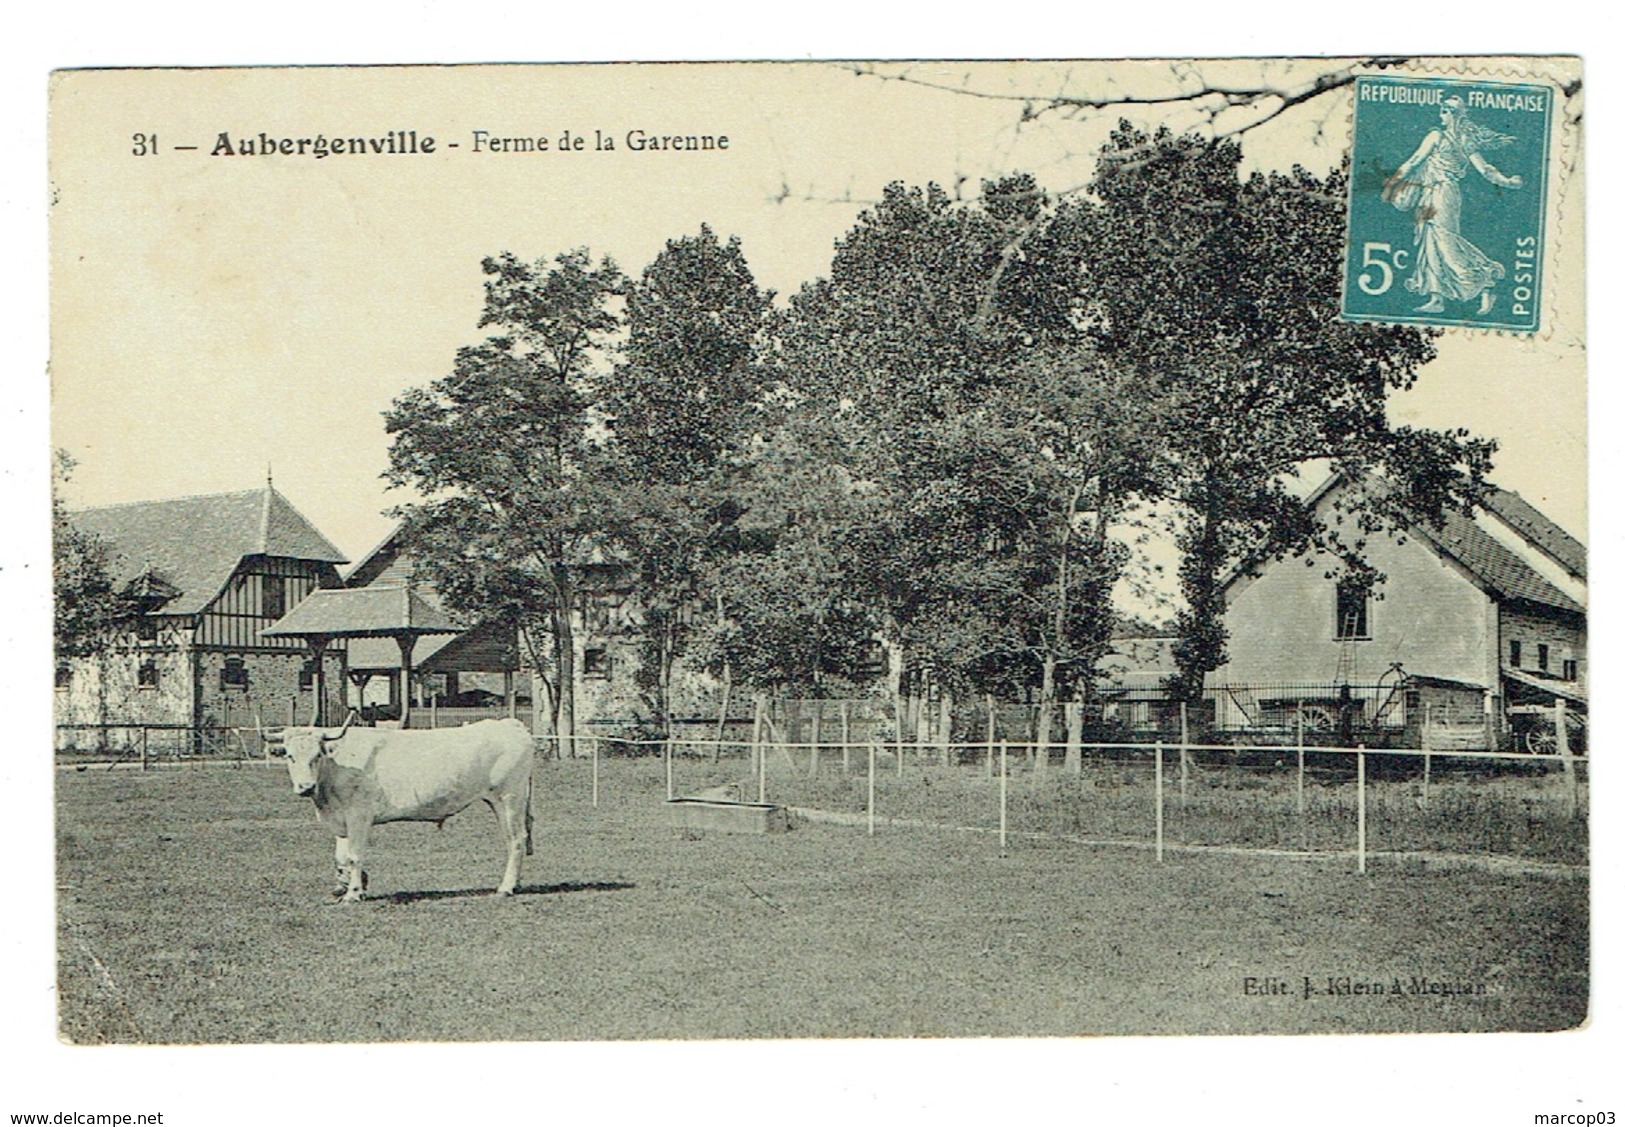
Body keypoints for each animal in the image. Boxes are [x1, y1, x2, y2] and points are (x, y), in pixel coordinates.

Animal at [264, 721, 533, 902]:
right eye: (289, 756)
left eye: (317, 755)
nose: (305, 787)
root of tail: (509, 724)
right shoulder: (341, 820)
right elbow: (340, 857)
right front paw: (347, 886)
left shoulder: (359, 815)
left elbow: (354, 855)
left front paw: (354, 893)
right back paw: (516, 883)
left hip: (509, 798)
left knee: (516, 841)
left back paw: (506, 887)